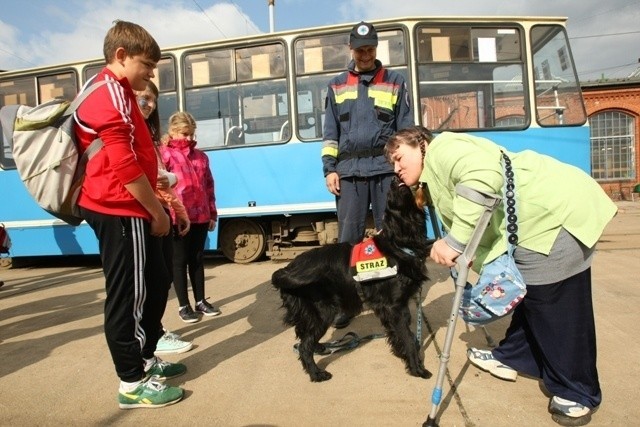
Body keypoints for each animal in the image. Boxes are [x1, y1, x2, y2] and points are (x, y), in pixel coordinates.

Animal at [272, 176, 432, 382]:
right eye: (390, 197)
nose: (394, 178)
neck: (399, 243)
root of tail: (287, 269)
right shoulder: (394, 306)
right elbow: (408, 338)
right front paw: (416, 368)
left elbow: (399, 334)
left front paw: (400, 353)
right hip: (323, 311)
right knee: (304, 346)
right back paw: (317, 373)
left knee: (303, 336)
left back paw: (320, 348)